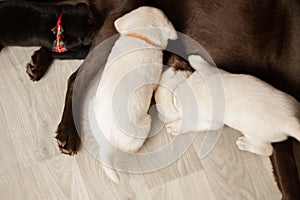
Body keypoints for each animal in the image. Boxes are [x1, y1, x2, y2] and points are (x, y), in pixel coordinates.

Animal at [155, 54, 300, 156]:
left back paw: (245, 144)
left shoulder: (212, 123)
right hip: (292, 100)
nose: (173, 57)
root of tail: (289, 121)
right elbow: (205, 65)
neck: (178, 88)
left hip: (254, 135)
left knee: (267, 149)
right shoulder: (210, 71)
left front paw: (175, 127)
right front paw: (195, 58)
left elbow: (192, 124)